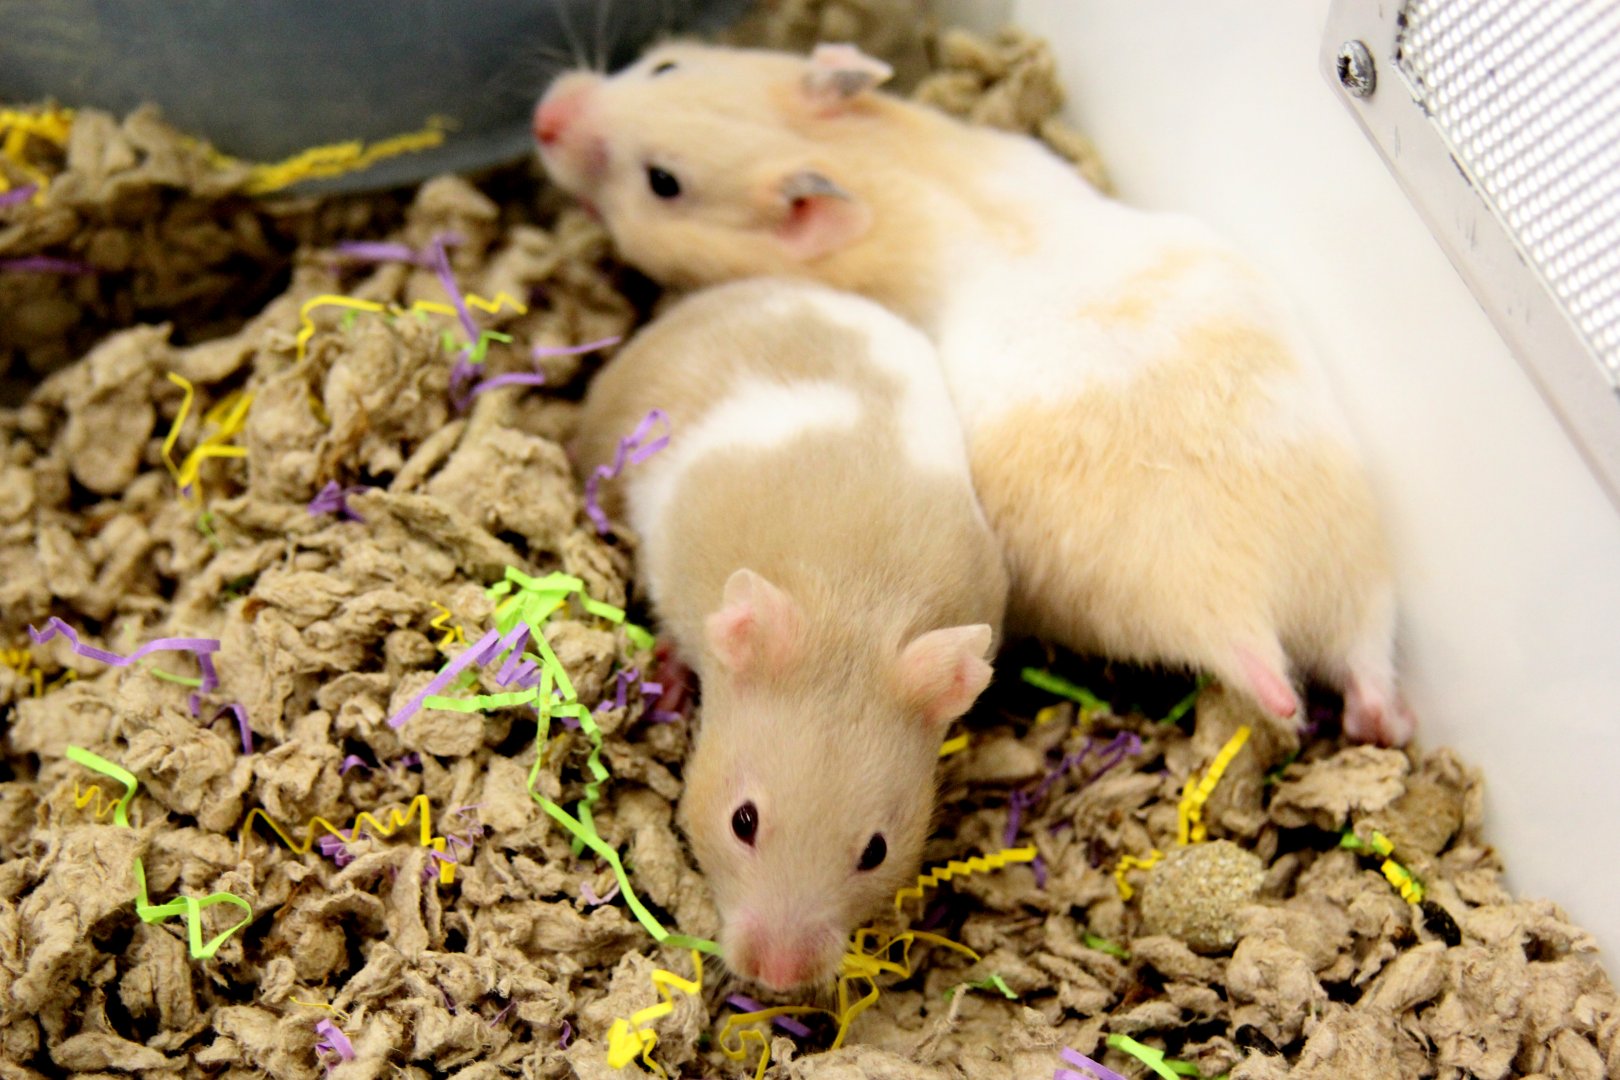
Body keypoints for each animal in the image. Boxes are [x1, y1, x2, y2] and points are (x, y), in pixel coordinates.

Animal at [537, 42, 1415, 746]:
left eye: (662, 183)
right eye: (664, 65)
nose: (545, 116)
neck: (867, 160)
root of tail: (1258, 604)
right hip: (1357, 568)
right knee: (1365, 665)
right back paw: (1382, 721)